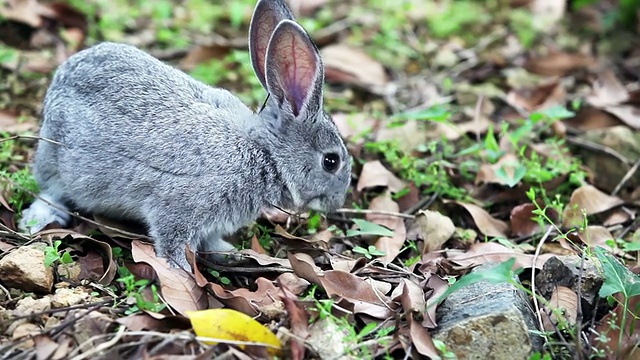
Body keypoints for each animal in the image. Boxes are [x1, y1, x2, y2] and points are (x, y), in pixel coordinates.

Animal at [18, 0, 350, 270]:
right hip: (59, 160)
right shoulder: (179, 209)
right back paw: (38, 219)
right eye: (330, 161)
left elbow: (210, 240)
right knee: (50, 190)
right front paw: (183, 273)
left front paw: (228, 253)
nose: (337, 202)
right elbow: (172, 244)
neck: (265, 154)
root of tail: (60, 79)